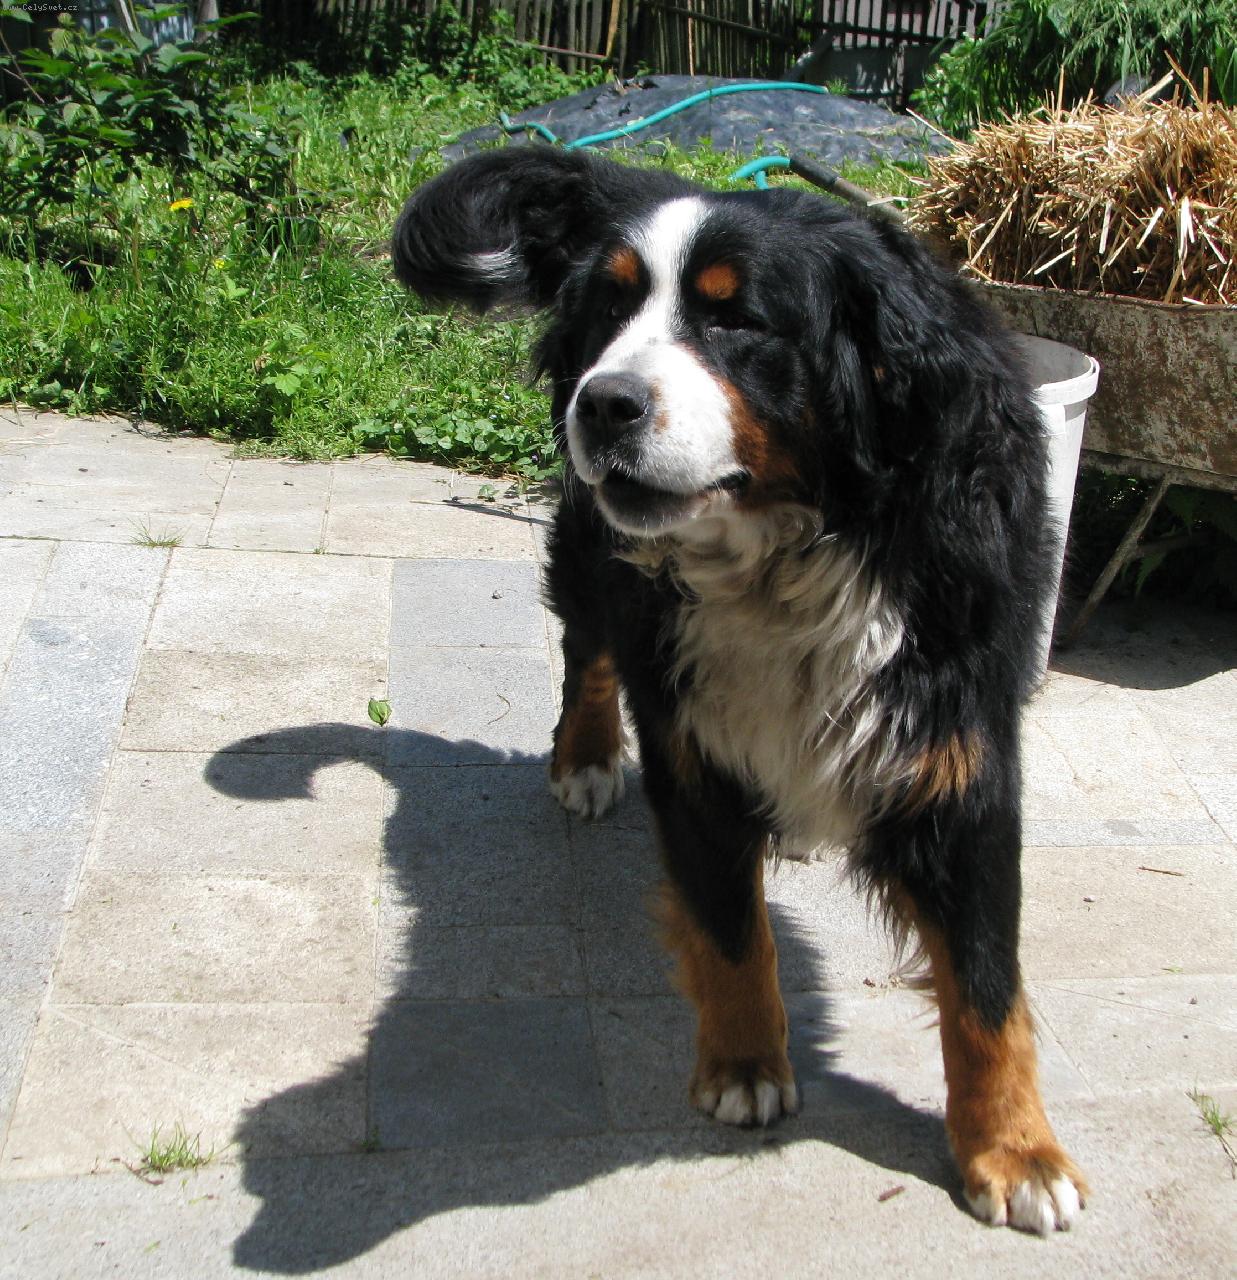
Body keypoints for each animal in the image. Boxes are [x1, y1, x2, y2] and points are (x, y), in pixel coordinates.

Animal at [391, 146, 1087, 1234]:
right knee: (586, 645)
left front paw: (1014, 1150)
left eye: (734, 319)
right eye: (611, 308)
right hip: (597, 560)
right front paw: (745, 1064)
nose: (604, 402)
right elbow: (726, 929)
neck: (794, 551)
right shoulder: (692, 742)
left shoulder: (957, 753)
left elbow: (984, 984)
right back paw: (584, 759)